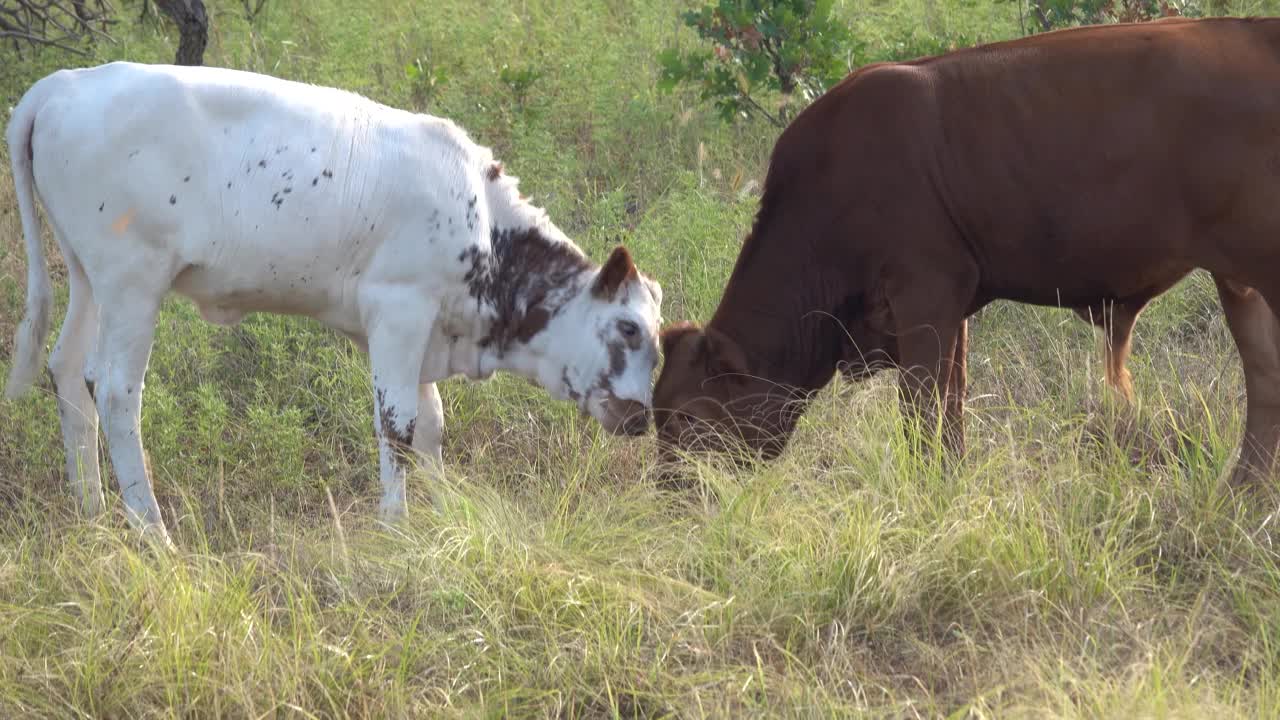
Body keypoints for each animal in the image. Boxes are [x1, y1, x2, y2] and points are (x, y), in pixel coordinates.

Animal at [0, 63, 660, 543]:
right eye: (628, 327)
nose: (641, 417)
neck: (482, 222)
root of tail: (65, 83)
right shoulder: (400, 310)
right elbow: (399, 423)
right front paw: (396, 526)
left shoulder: (419, 331)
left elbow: (432, 424)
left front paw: (447, 511)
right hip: (133, 283)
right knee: (114, 389)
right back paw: (152, 532)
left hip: (88, 278)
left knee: (66, 371)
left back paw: (91, 512)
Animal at [655, 18, 1280, 486]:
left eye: (684, 418)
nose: (668, 492)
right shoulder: (952, 306)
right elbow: (950, 413)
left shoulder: (924, 292)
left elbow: (922, 411)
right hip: (1240, 281)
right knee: (1264, 377)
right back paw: (1240, 495)